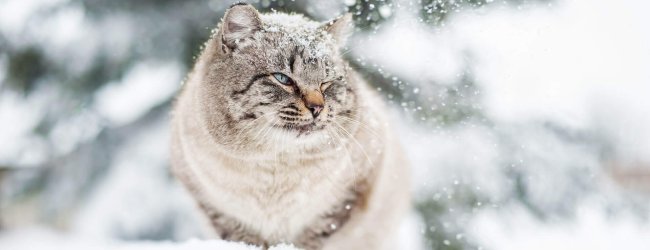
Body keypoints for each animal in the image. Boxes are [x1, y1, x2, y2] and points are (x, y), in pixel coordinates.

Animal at [170, 2, 408, 250]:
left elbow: (314, 235)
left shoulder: (354, 187)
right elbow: (244, 238)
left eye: (326, 83)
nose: (317, 108)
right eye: (283, 79)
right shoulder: (215, 207)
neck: (277, 164)